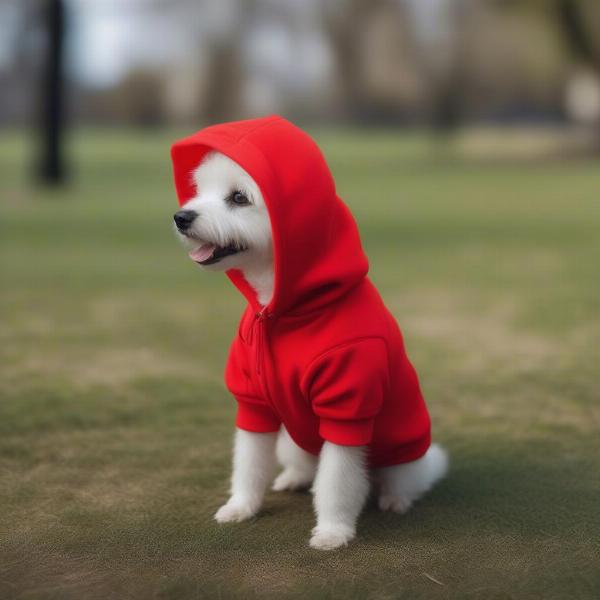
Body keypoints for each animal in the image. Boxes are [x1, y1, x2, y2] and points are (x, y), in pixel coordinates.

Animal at [171, 115, 448, 552]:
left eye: (238, 197)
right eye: (200, 191)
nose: (182, 217)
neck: (279, 312)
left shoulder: (345, 409)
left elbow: (336, 484)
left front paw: (333, 531)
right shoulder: (254, 405)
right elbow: (248, 465)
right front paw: (241, 507)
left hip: (403, 454)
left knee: (403, 479)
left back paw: (396, 498)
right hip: (292, 437)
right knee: (302, 465)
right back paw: (293, 478)